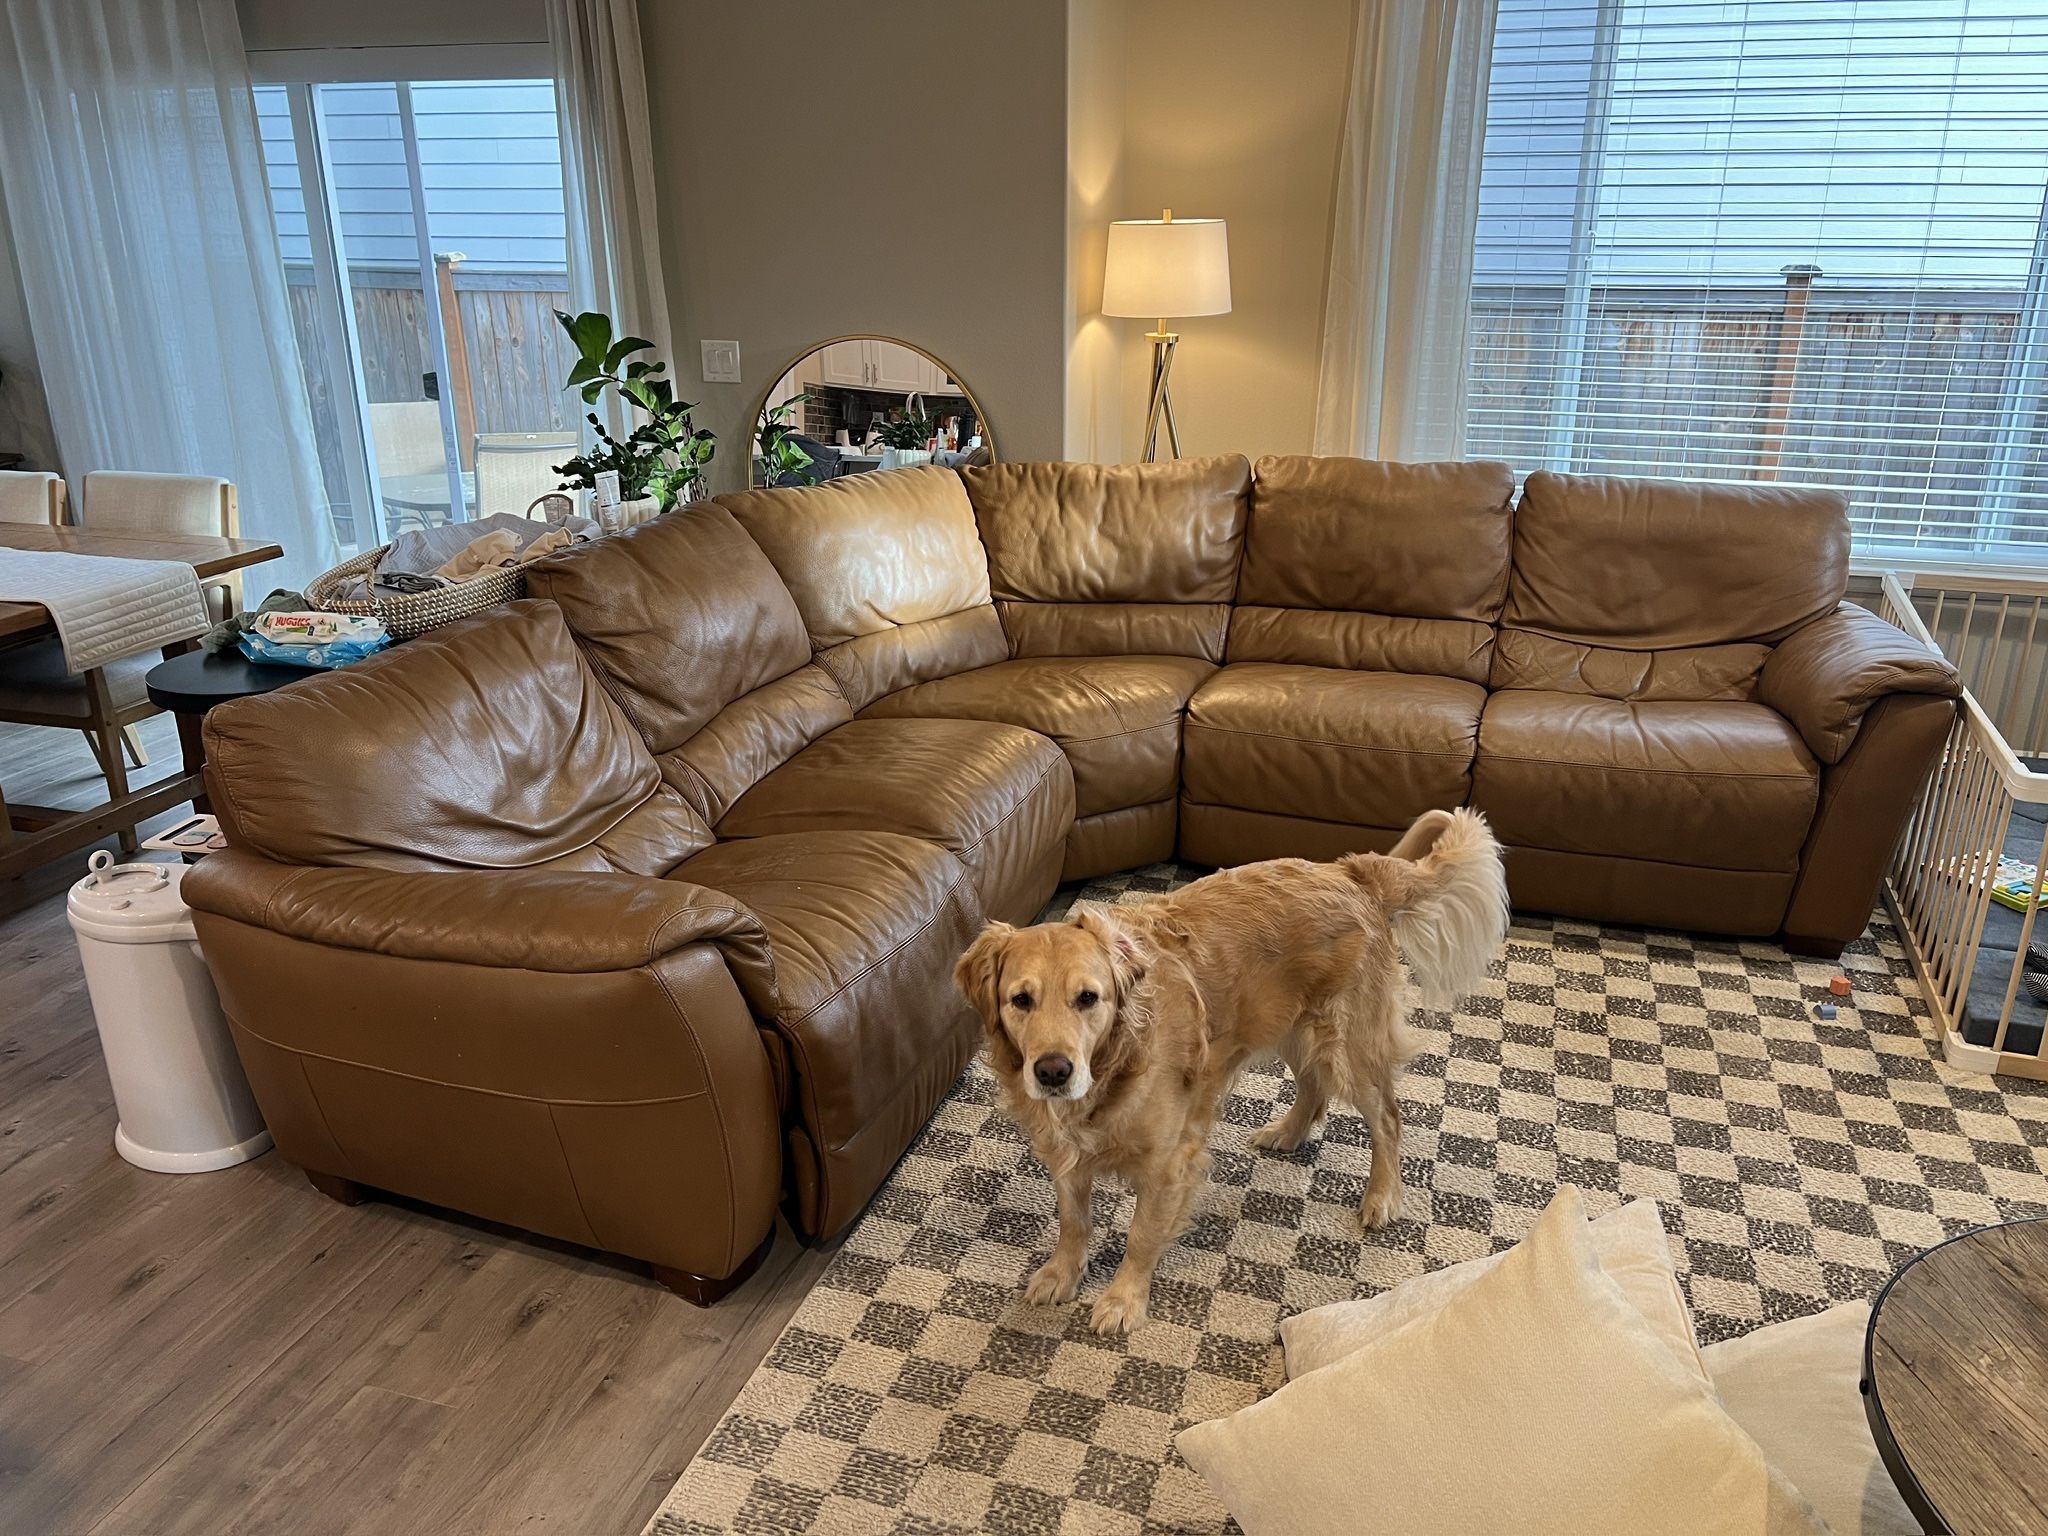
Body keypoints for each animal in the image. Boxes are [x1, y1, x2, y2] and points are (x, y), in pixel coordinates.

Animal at [954, 806, 1507, 1335]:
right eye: (1020, 1000)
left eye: (1088, 998)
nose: (1053, 1071)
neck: (1115, 1063)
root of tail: (1351, 871)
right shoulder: (1065, 1151)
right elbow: (1074, 1221)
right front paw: (1062, 1273)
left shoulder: (1169, 1161)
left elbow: (1141, 1235)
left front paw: (1123, 1300)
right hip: (1288, 1025)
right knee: (1313, 1088)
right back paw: (1287, 1133)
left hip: (1349, 1045)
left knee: (1387, 1118)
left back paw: (1381, 1196)